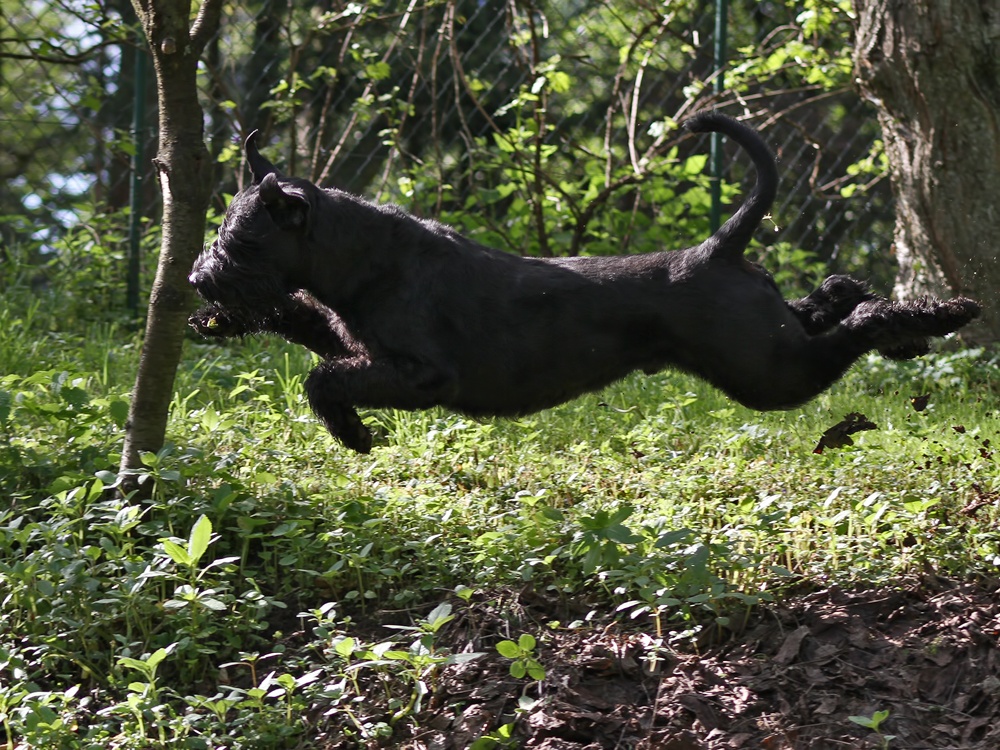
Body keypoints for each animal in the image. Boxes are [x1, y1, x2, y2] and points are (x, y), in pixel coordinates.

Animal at [188, 111, 976, 452]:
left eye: (242, 240)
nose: (197, 279)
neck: (363, 258)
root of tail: (718, 247)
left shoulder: (420, 373)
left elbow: (321, 380)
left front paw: (354, 436)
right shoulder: (347, 339)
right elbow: (301, 323)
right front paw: (220, 324)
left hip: (769, 373)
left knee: (853, 330)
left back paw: (942, 315)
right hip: (771, 345)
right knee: (830, 303)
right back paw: (885, 313)